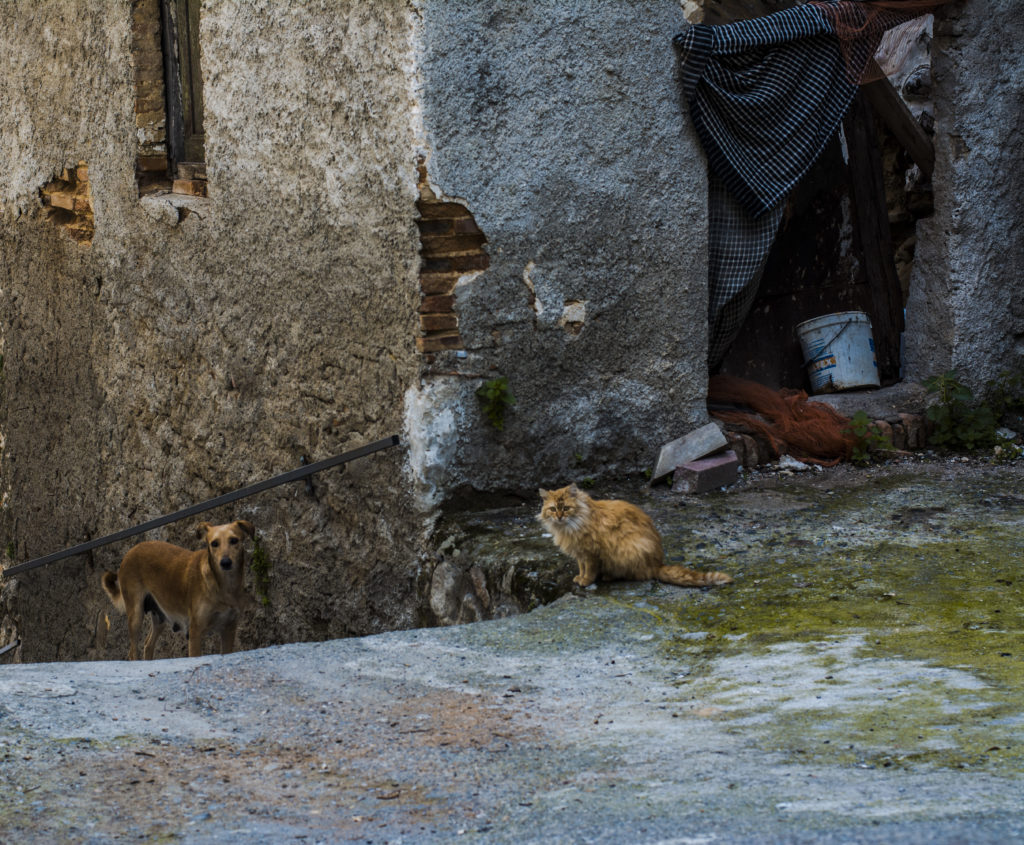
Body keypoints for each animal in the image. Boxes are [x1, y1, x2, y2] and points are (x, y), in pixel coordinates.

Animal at [100, 520, 256, 659]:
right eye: (214, 544)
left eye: (234, 540)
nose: (225, 563)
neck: (223, 586)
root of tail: (132, 550)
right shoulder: (195, 632)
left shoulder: (228, 630)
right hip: (135, 615)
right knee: (133, 653)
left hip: (159, 616)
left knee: (148, 644)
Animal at [540, 481, 733, 585]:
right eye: (553, 509)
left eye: (566, 508)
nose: (559, 517)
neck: (570, 527)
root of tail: (658, 564)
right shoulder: (580, 554)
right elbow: (581, 568)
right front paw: (579, 577)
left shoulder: (590, 553)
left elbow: (590, 570)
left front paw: (586, 581)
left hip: (628, 549)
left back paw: (609, 577)